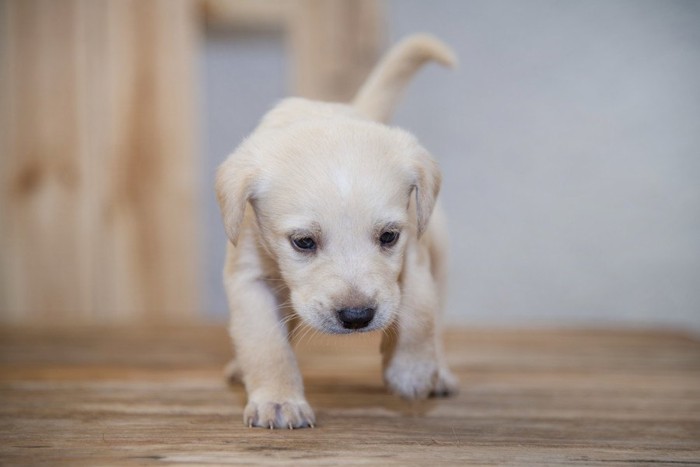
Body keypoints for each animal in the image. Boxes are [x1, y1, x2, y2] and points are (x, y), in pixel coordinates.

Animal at [216, 33, 462, 430]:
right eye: (303, 242)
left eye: (389, 237)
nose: (357, 317)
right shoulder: (248, 277)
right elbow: (266, 344)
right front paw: (278, 400)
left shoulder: (414, 251)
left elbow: (419, 312)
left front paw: (411, 370)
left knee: (436, 318)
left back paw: (439, 372)